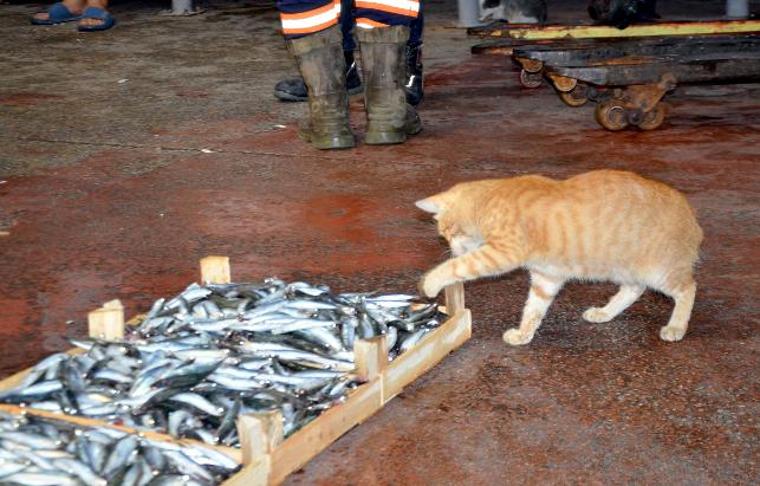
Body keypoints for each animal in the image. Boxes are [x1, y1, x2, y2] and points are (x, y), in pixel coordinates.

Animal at [418, 169, 704, 344]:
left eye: (446, 233)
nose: (450, 246)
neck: (489, 199)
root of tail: (691, 216)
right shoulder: (547, 277)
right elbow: (533, 309)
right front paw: (523, 335)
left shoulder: (501, 253)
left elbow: (457, 266)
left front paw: (431, 282)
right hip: (624, 269)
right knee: (633, 289)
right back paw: (605, 312)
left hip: (660, 272)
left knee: (688, 288)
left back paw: (676, 327)